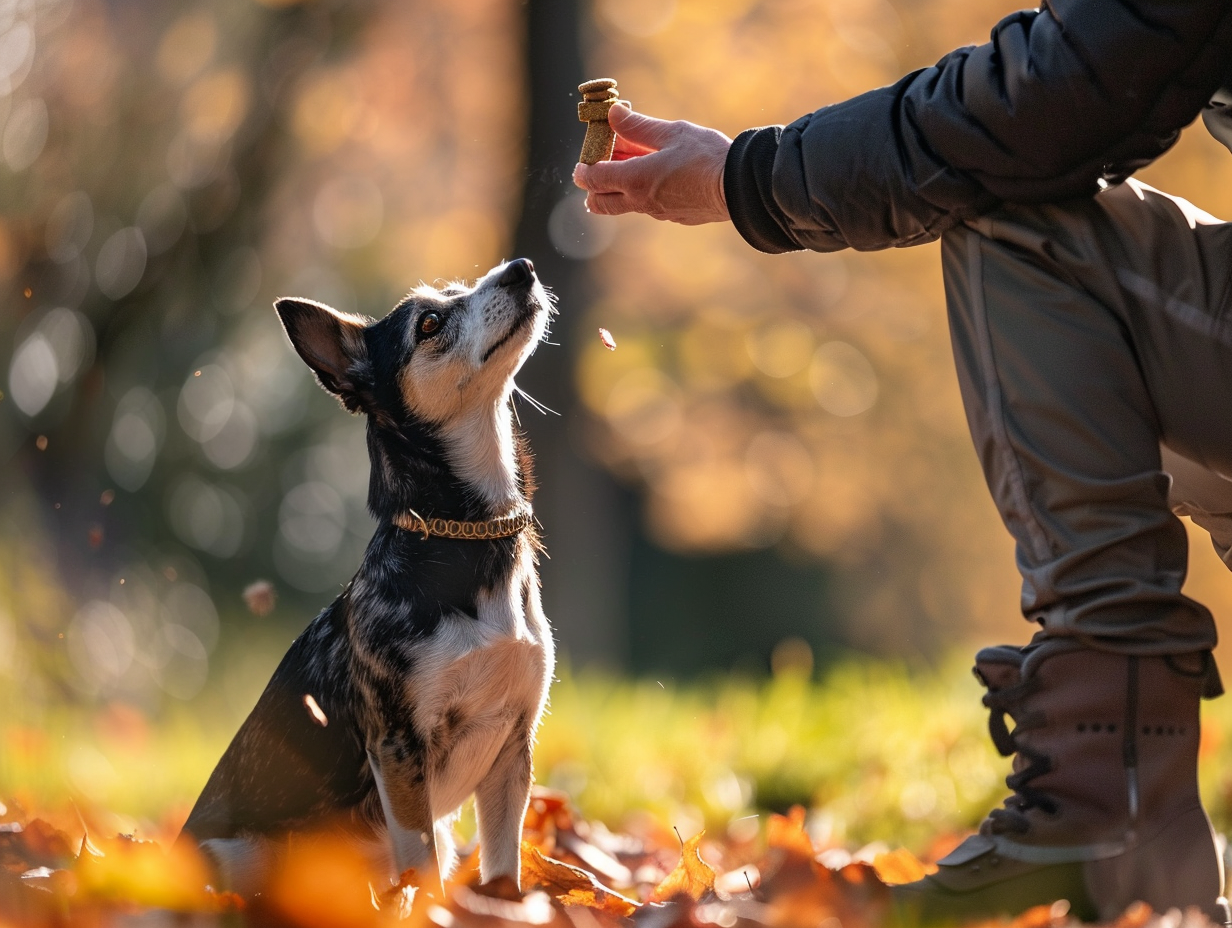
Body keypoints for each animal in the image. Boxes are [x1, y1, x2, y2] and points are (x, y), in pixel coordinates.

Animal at [172, 257, 554, 892]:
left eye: (464, 288)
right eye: (429, 324)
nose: (520, 268)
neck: (463, 535)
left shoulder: (511, 751)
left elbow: (502, 873)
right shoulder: (399, 748)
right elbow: (423, 867)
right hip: (236, 857)